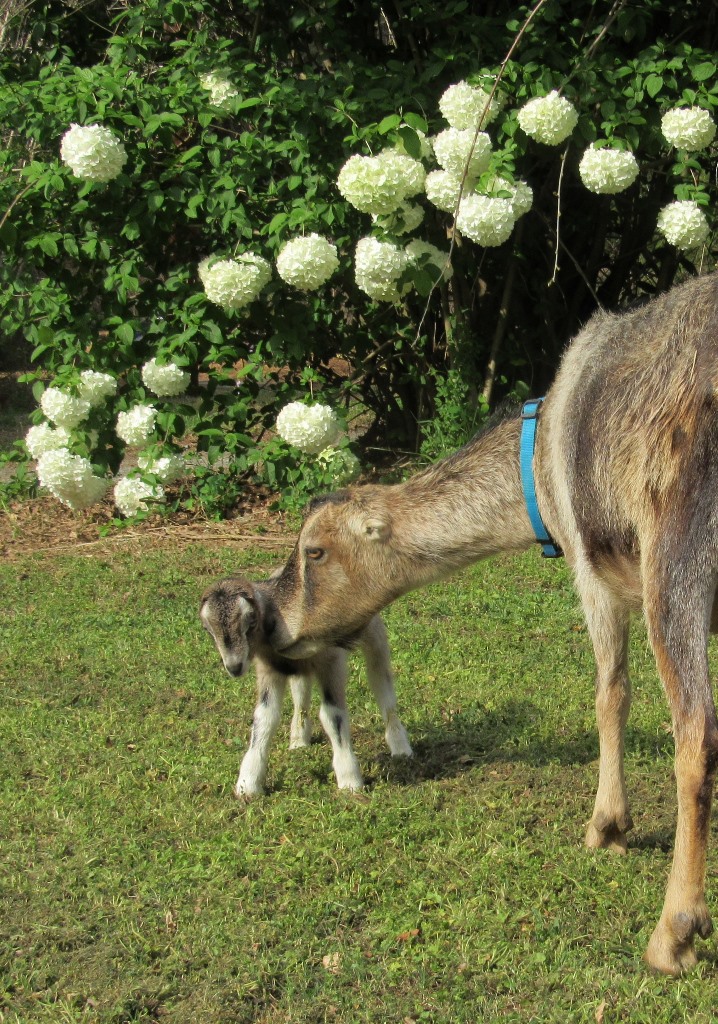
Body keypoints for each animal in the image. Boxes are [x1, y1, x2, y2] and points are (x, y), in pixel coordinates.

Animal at [198, 573, 411, 794]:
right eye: (207, 629)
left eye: (251, 620)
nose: (234, 667)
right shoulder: (269, 669)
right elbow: (264, 717)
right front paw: (247, 784)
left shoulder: (331, 662)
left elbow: (332, 716)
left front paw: (349, 781)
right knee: (301, 691)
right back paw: (299, 739)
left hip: (373, 634)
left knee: (381, 681)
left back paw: (400, 746)